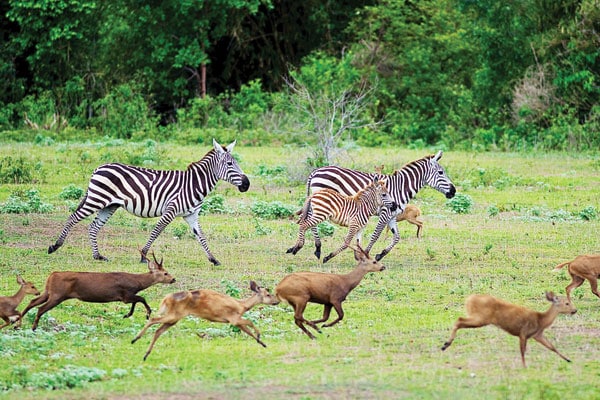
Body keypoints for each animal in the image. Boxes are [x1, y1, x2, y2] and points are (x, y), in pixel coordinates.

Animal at [19, 252, 175, 330]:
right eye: (166, 273)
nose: (173, 279)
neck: (137, 283)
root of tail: (51, 275)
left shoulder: (127, 296)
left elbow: (137, 301)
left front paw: (127, 314)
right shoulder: (125, 294)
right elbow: (141, 299)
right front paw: (146, 314)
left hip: (48, 292)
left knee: (32, 302)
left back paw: (18, 323)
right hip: (58, 294)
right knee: (40, 308)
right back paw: (33, 327)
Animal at [47, 139, 251, 268]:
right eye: (230, 164)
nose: (247, 184)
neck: (194, 184)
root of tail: (98, 167)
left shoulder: (191, 215)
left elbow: (201, 236)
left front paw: (214, 259)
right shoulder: (171, 209)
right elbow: (157, 230)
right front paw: (143, 255)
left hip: (109, 205)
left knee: (93, 226)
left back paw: (98, 256)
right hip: (96, 198)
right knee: (73, 217)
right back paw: (55, 245)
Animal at [131, 280, 278, 360]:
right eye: (268, 294)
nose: (276, 301)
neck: (241, 305)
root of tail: (166, 299)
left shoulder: (235, 321)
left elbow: (248, 331)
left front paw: (262, 343)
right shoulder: (233, 318)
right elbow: (250, 322)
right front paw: (260, 337)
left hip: (174, 318)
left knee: (158, 331)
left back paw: (145, 354)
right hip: (173, 315)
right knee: (153, 319)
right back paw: (135, 339)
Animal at [304, 150, 454, 260]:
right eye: (441, 172)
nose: (453, 191)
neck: (400, 188)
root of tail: (316, 171)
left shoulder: (392, 214)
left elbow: (397, 237)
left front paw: (380, 254)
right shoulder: (385, 212)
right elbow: (376, 235)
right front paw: (365, 254)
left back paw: (317, 248)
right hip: (323, 200)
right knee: (312, 221)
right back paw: (318, 248)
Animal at [440, 290, 576, 366]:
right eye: (567, 303)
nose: (575, 310)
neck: (541, 320)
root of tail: (469, 299)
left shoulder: (537, 335)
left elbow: (552, 347)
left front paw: (568, 359)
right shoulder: (523, 332)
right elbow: (522, 351)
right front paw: (524, 367)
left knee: (459, 320)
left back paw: (445, 345)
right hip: (481, 318)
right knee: (459, 320)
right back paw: (445, 344)